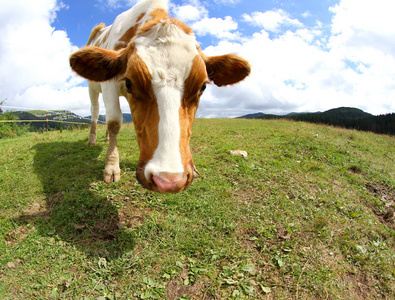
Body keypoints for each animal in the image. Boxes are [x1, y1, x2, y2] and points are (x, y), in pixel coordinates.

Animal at [70, 0, 251, 192]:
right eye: (129, 83)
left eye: (202, 86)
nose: (168, 180)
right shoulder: (109, 86)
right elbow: (114, 122)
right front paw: (111, 167)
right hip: (92, 88)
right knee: (96, 112)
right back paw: (92, 139)